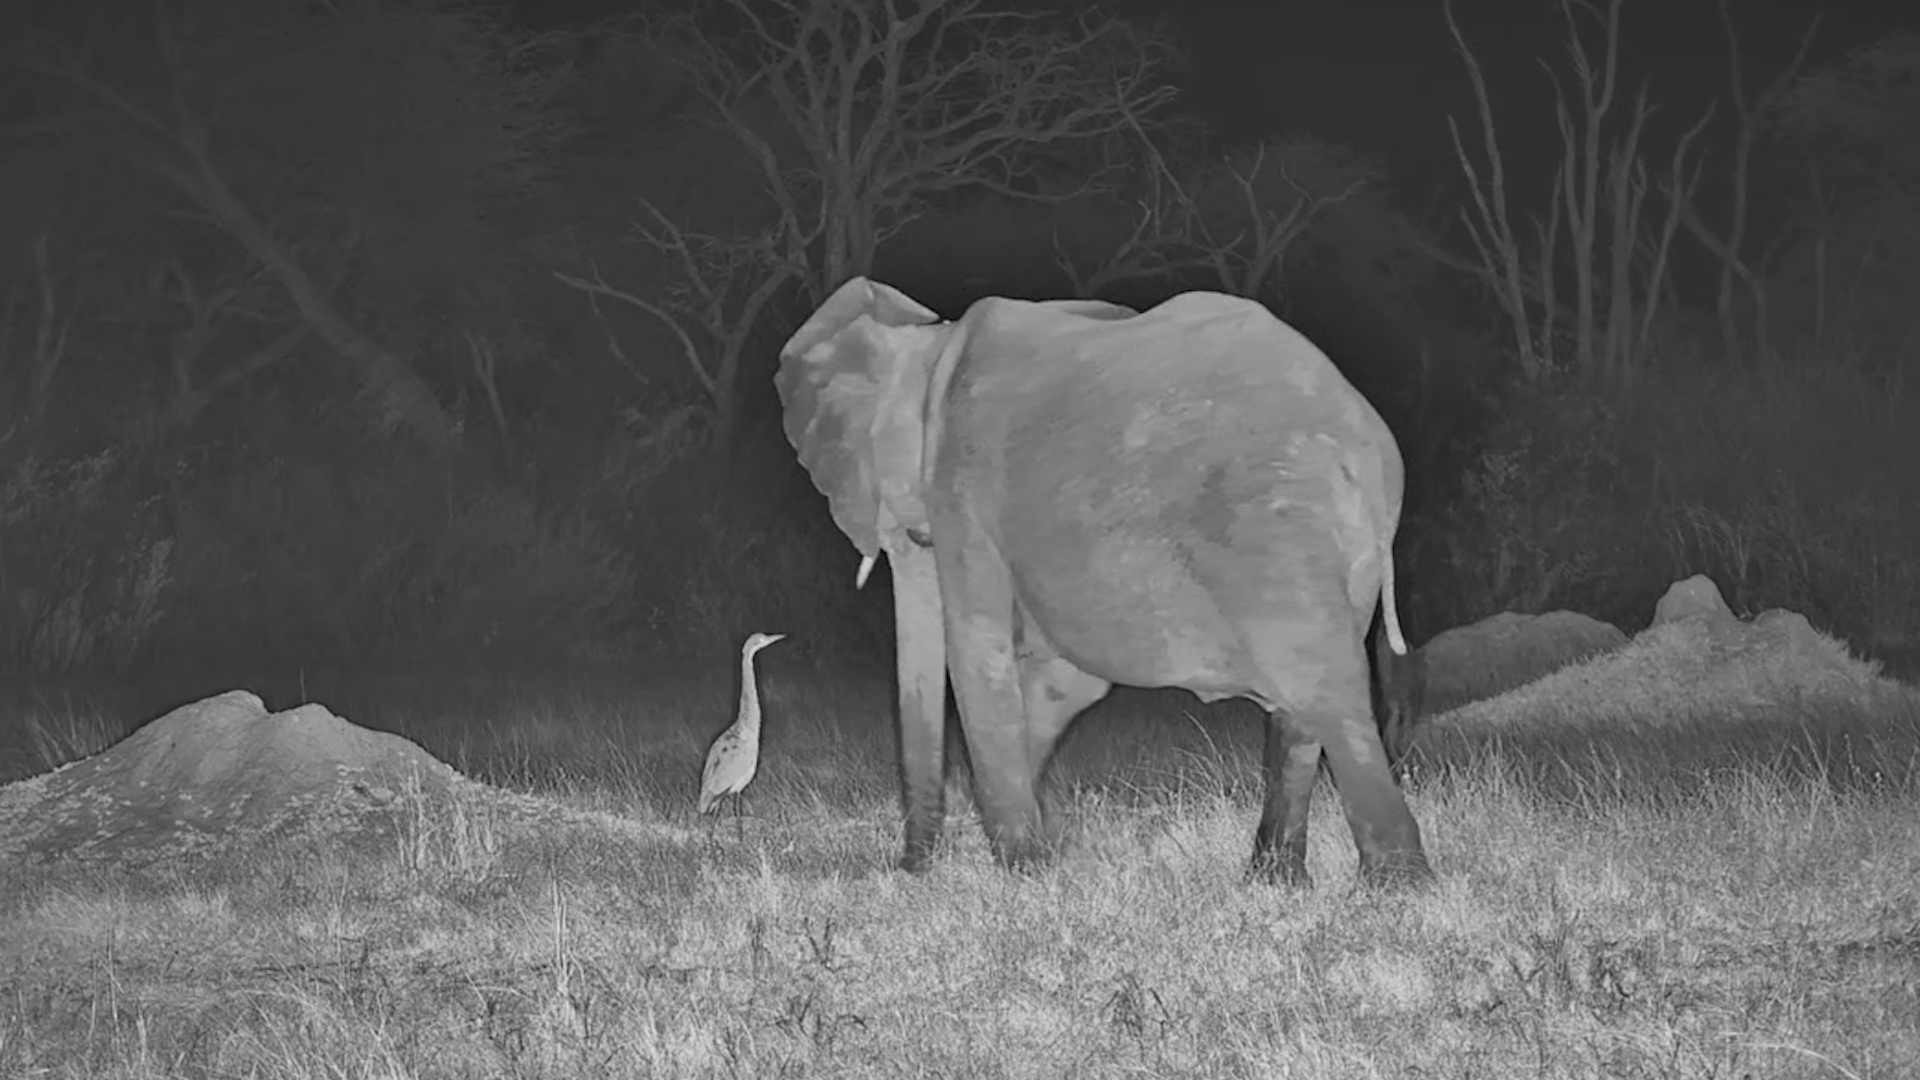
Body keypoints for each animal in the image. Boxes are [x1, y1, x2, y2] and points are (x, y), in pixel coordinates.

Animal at [776, 277, 1432, 888]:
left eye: (916, 537)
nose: (912, 868)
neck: (930, 344)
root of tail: (1356, 433)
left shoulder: (964, 486)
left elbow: (976, 656)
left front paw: (1022, 871)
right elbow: (1067, 682)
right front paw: (1027, 850)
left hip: (1268, 519)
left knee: (1319, 685)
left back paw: (1394, 886)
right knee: (1304, 703)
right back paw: (1275, 881)